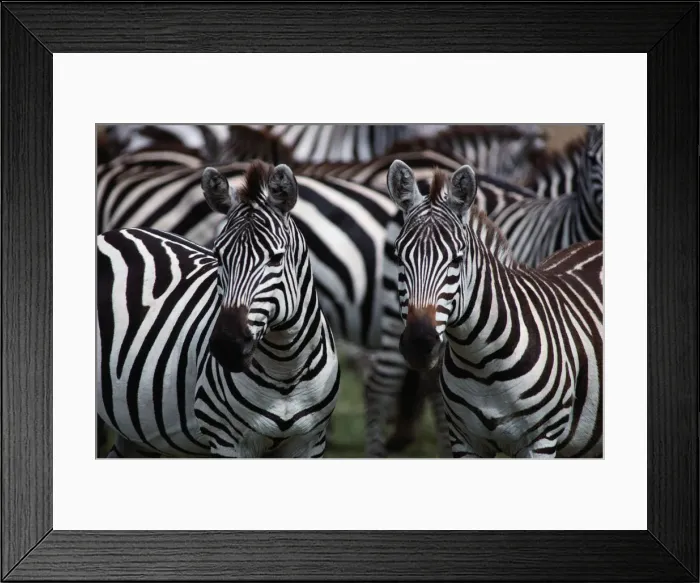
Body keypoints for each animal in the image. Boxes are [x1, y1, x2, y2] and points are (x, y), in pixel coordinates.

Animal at [97, 161, 340, 458]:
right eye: (218, 256)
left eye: (276, 258)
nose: (227, 346)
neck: (286, 370)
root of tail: (115, 232)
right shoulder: (228, 440)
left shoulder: (310, 442)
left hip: (134, 429)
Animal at [385, 160, 603, 458]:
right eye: (398, 256)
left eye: (457, 259)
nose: (419, 344)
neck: (481, 363)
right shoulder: (463, 440)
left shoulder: (542, 441)